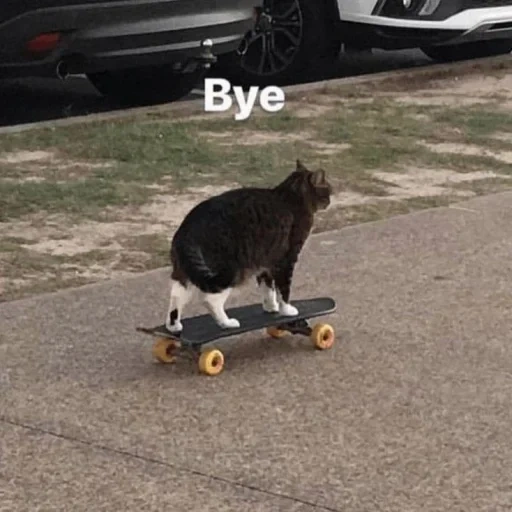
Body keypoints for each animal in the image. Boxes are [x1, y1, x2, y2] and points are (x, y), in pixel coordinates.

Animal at [164, 161, 332, 336]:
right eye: (328, 189)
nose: (330, 200)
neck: (291, 195)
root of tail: (187, 230)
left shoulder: (266, 262)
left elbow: (268, 289)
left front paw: (271, 307)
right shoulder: (286, 260)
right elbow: (283, 289)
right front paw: (287, 310)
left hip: (186, 272)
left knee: (176, 296)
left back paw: (173, 326)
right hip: (228, 271)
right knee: (210, 299)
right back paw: (227, 323)